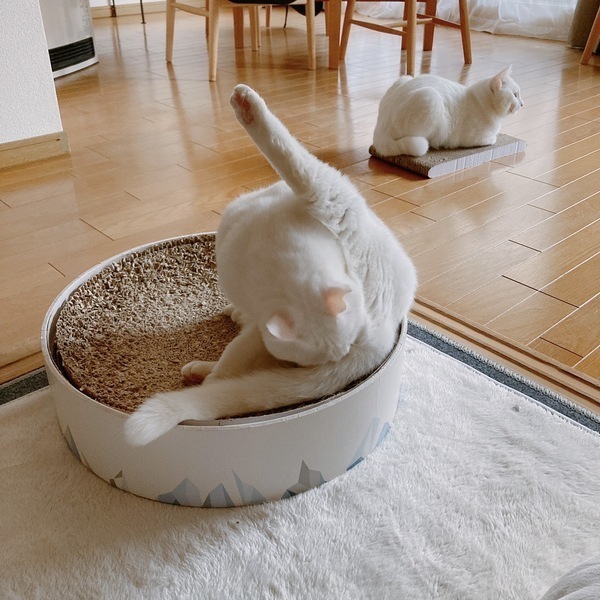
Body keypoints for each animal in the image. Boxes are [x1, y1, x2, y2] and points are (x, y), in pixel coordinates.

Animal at [124, 84, 417, 446]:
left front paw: (246, 105)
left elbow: (288, 155)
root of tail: (381, 342)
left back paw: (199, 371)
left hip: (336, 206)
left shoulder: (331, 198)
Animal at [372, 65, 523, 157]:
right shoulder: (479, 138)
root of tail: (379, 131)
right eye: (515, 95)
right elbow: (493, 139)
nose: (522, 104)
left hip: (405, 78)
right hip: (430, 97)